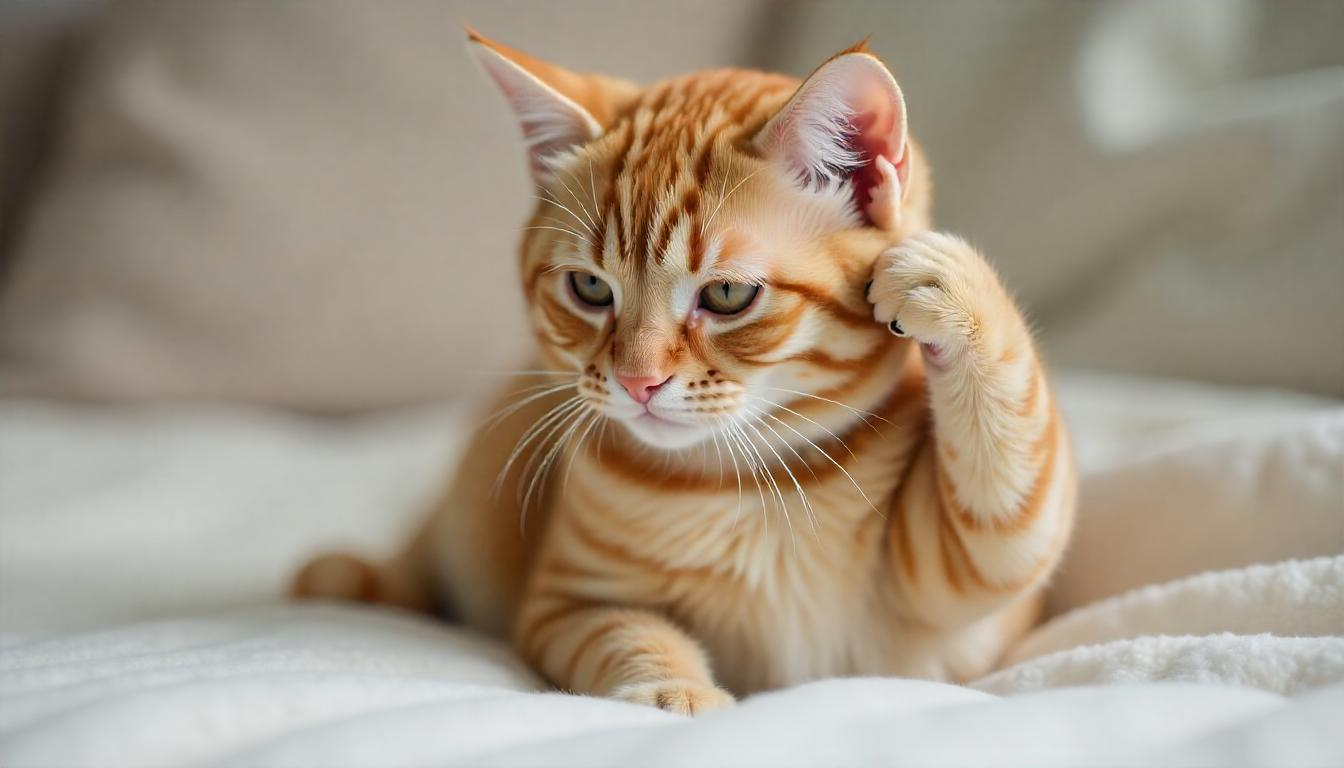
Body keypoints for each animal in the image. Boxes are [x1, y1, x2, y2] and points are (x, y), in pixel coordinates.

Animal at [291, 30, 1069, 715]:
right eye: (590, 288)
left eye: (725, 295)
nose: (637, 381)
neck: (731, 485)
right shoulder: (567, 604)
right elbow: (630, 633)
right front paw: (676, 690)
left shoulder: (978, 560)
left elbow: (1018, 466)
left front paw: (952, 287)